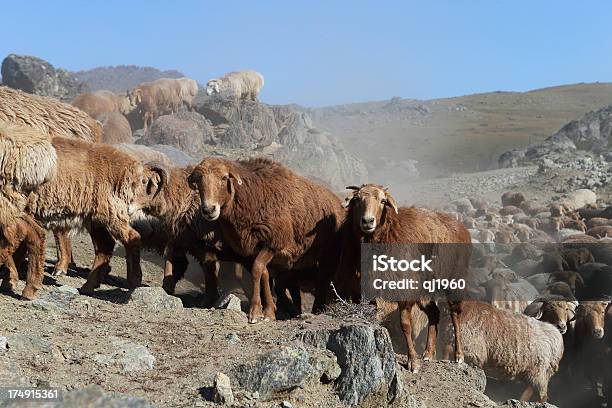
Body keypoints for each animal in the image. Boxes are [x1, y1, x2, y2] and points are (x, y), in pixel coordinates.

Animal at [186, 158, 344, 324]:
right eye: (198, 181)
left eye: (224, 178)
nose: (208, 210)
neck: (251, 198)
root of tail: (337, 201)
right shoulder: (253, 250)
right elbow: (264, 273)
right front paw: (269, 311)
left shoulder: (274, 242)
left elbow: (257, 270)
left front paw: (255, 311)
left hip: (329, 254)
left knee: (323, 280)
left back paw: (317, 310)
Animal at [340, 185, 468, 372]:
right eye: (357, 200)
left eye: (383, 201)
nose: (368, 221)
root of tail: (461, 228)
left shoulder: (404, 288)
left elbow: (405, 325)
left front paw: (412, 361)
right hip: (424, 287)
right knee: (434, 312)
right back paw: (428, 353)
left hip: (453, 280)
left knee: (455, 313)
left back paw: (459, 355)